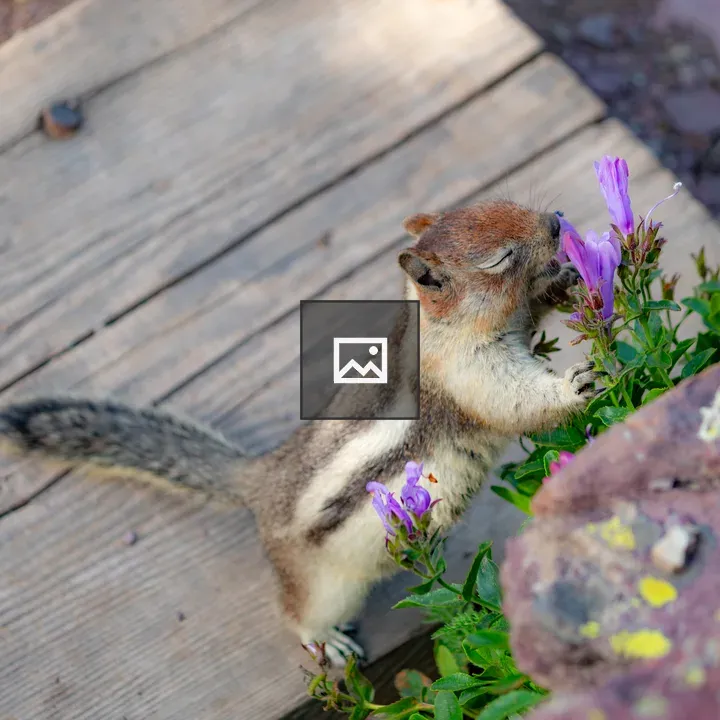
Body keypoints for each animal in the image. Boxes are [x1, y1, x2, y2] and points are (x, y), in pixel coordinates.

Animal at [0, 200, 598, 668]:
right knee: (294, 612)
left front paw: (565, 278)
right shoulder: (468, 374)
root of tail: (261, 484)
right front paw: (574, 386)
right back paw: (325, 639)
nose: (554, 222)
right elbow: (514, 401)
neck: (436, 326)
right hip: (322, 585)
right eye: (499, 258)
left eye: (502, 203)